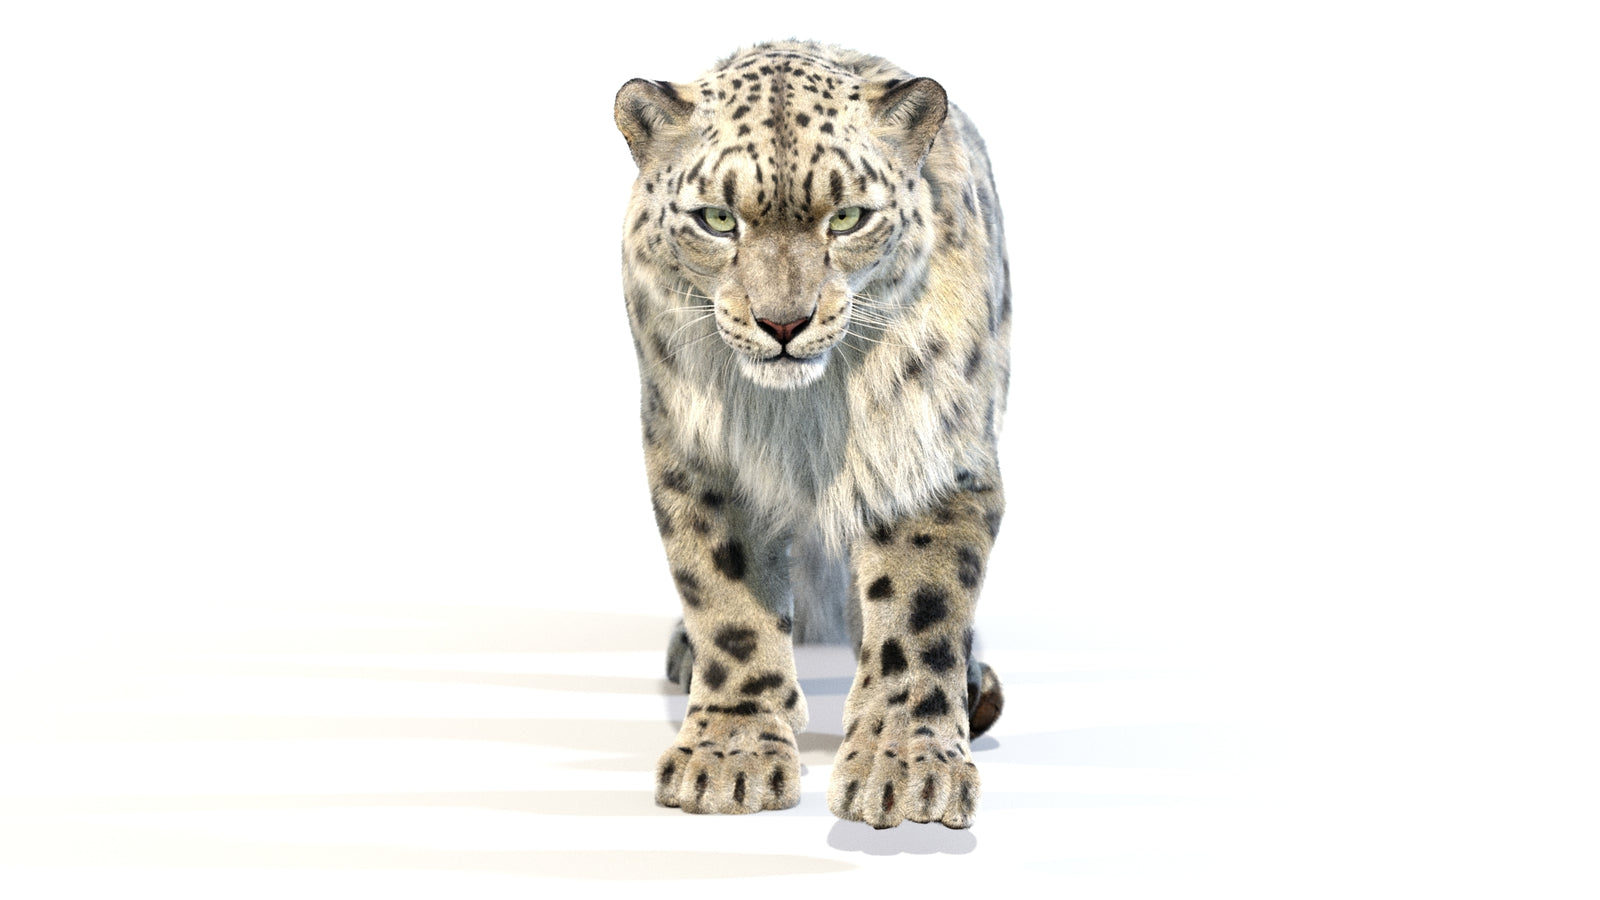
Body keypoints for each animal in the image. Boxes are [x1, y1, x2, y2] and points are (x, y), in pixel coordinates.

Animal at [614, 40, 1011, 829]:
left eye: (848, 217)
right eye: (717, 219)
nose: (783, 323)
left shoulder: (926, 455)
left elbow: (920, 610)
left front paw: (906, 770)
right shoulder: (701, 458)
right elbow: (727, 599)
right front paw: (728, 754)